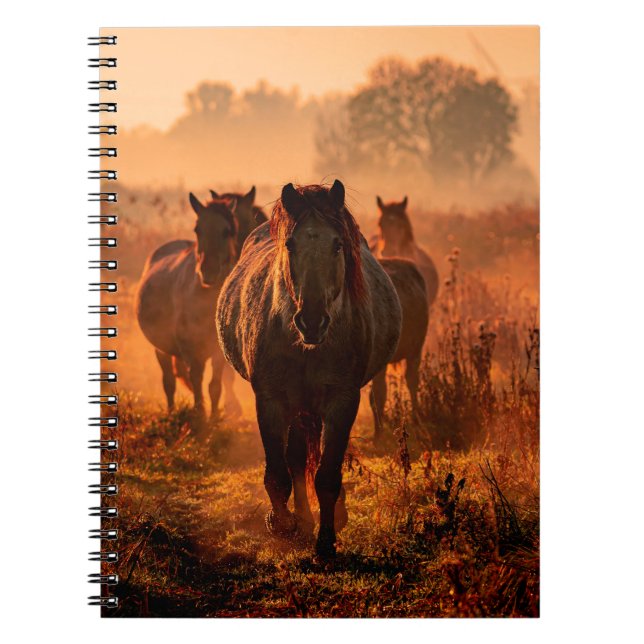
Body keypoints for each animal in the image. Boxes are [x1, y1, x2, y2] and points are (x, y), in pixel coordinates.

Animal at [136, 193, 243, 431]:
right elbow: (197, 381)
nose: (208, 273)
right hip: (161, 348)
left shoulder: (217, 352)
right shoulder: (192, 351)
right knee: (169, 382)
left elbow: (214, 386)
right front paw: (200, 416)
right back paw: (170, 412)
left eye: (227, 231)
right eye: (198, 229)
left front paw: (214, 418)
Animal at [216, 181, 402, 558]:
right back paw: (300, 521)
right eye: (290, 244)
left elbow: (328, 475)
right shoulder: (270, 400)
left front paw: (326, 541)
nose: (312, 321)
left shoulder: (342, 401)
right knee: (297, 460)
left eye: (338, 244)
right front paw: (283, 524)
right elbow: (279, 473)